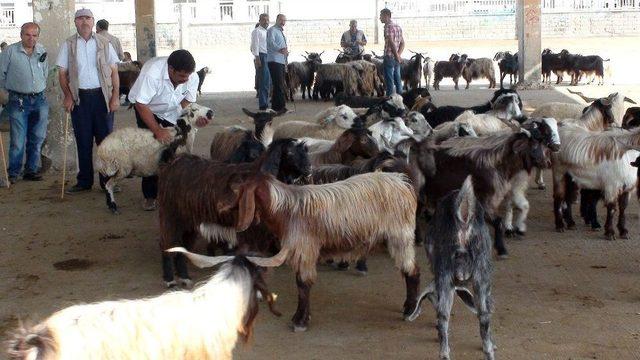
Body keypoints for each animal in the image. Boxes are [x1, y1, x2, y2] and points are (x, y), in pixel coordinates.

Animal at [158, 138, 312, 286]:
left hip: (188, 221)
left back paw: (184, 277)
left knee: (181, 247)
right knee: (167, 245)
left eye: (305, 150)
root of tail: (172, 164)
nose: (309, 168)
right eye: (289, 153)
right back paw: (169, 279)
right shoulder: (254, 231)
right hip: (170, 216)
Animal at [230, 170, 420, 330]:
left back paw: (411, 310)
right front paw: (301, 317)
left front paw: (300, 321)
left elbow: (303, 285)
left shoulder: (305, 248)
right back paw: (409, 305)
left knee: (412, 271)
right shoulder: (301, 250)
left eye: (240, 193)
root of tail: (403, 183)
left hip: (400, 236)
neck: (285, 210)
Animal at [404, 176, 496, 360]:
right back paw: (487, 351)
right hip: (479, 271)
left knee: (444, 315)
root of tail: (464, 217)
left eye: (431, 298)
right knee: (482, 314)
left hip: (446, 271)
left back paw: (444, 352)